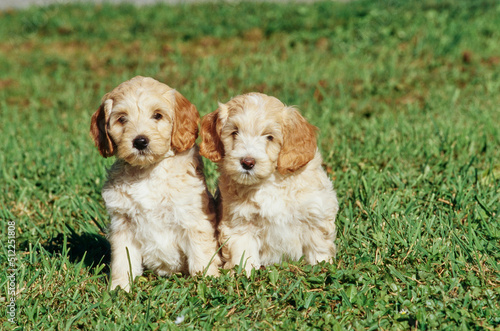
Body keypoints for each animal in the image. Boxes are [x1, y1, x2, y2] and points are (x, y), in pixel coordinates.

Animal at [89, 76, 221, 292]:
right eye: (122, 119)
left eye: (157, 115)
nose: (140, 141)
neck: (148, 172)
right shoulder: (122, 223)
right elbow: (122, 260)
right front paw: (119, 288)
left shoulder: (193, 217)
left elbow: (201, 255)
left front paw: (207, 282)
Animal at [201, 92, 338, 274]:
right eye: (235, 132)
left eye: (269, 137)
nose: (247, 162)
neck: (269, 182)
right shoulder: (239, 221)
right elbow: (243, 252)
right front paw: (243, 274)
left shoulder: (315, 213)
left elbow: (318, 247)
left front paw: (322, 267)